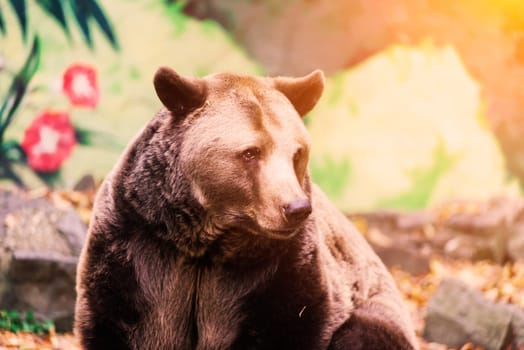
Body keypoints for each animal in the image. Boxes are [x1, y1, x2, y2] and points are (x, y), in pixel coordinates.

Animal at [73, 66, 420, 350]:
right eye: (251, 152)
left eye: (297, 153)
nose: (295, 207)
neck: (206, 240)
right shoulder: (138, 245)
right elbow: (114, 320)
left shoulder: (280, 268)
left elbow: (295, 320)